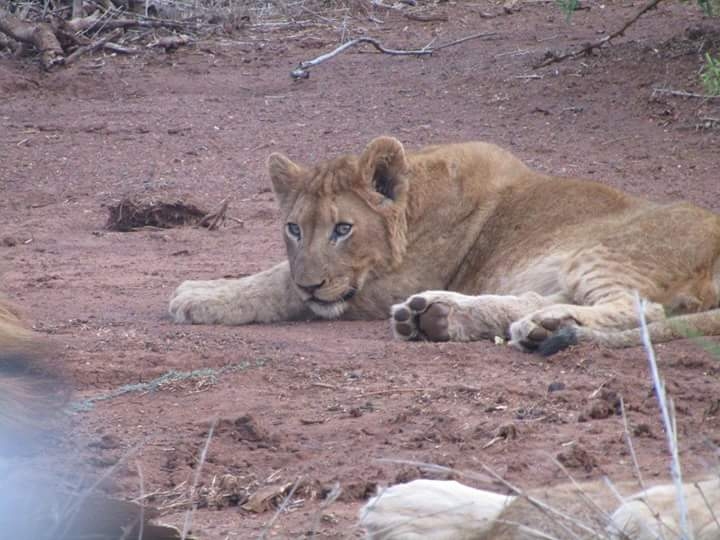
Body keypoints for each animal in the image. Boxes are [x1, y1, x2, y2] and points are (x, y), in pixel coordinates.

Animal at [169, 136, 720, 352]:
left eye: (343, 229)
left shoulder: (381, 285)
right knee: (536, 301)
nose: (313, 285)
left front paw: (197, 296)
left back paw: (538, 327)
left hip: (605, 252)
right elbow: (280, 272)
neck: (416, 202)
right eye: (294, 229)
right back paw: (440, 316)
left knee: (641, 309)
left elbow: (277, 283)